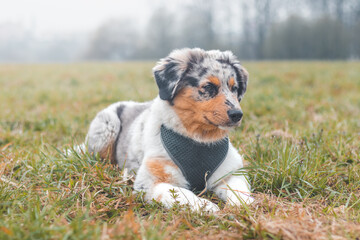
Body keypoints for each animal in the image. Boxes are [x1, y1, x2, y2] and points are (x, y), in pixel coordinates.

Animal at [85, 47, 252, 212]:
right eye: (209, 86)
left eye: (235, 88)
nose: (237, 115)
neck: (199, 138)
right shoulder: (150, 181)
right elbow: (181, 193)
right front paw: (207, 207)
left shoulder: (231, 171)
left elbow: (239, 190)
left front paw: (244, 205)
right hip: (108, 127)